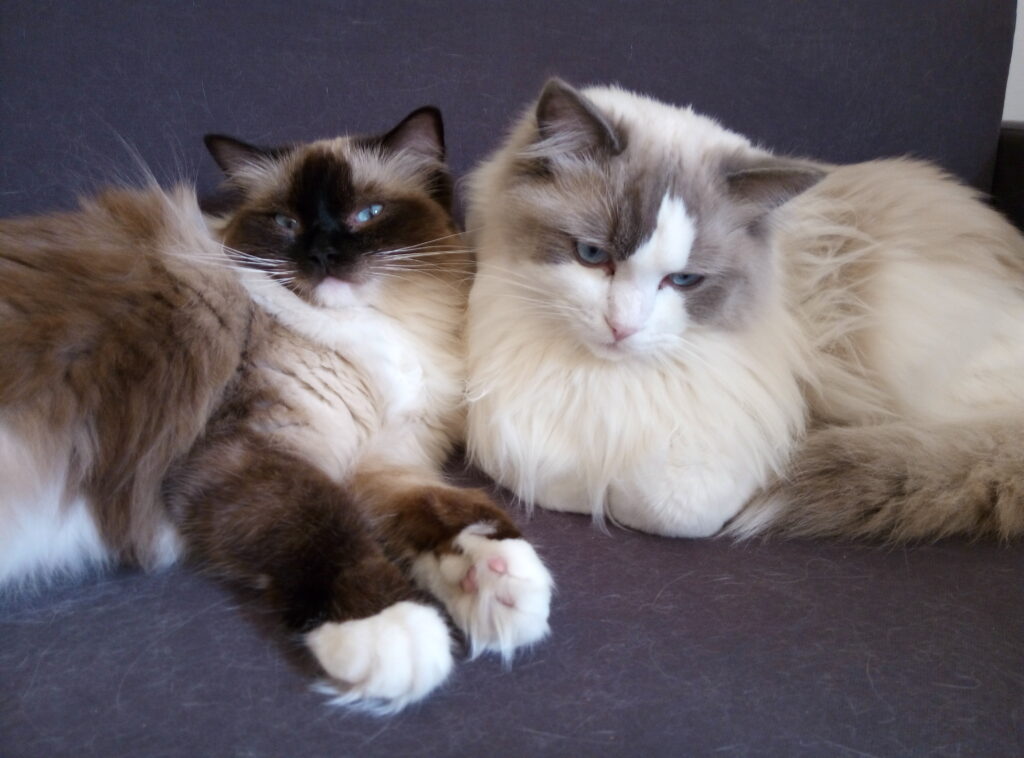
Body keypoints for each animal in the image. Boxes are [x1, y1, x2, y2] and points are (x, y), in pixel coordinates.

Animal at [0, 106, 552, 708]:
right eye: (286, 223)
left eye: (366, 214)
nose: (324, 255)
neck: (379, 331)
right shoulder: (255, 454)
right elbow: (325, 526)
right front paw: (392, 631)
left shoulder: (378, 462)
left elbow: (451, 510)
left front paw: (500, 578)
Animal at [464, 78, 1024, 540]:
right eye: (591, 254)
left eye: (683, 280)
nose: (622, 328)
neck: (604, 378)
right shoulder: (511, 430)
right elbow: (557, 477)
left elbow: (659, 504)